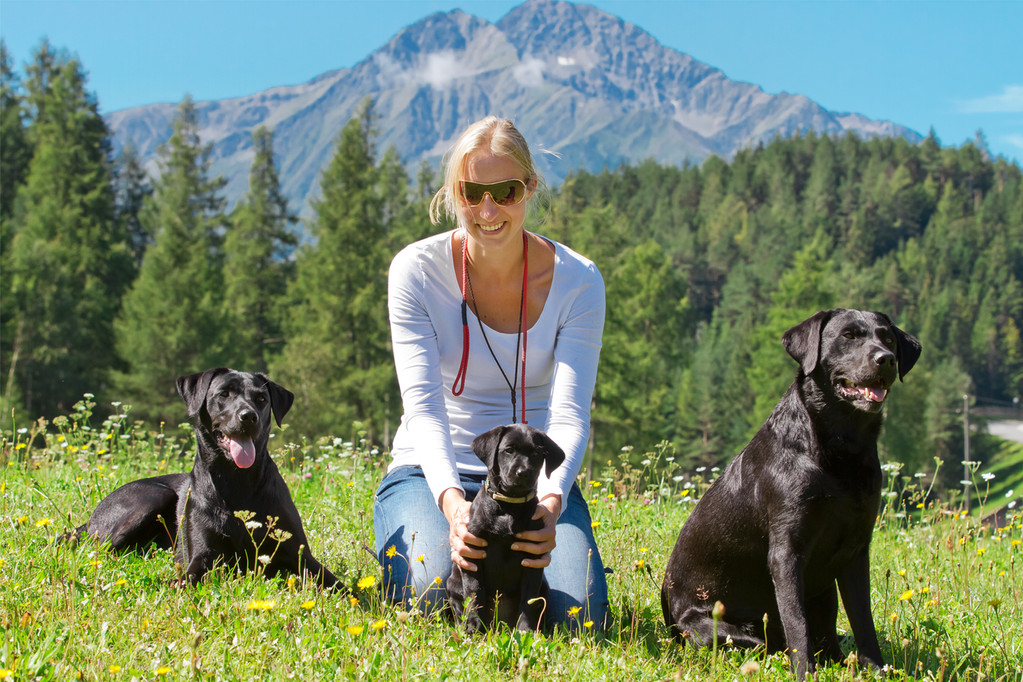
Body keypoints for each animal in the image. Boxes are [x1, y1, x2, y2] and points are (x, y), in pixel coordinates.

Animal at [65, 370, 341, 588]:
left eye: (262, 399)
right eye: (224, 394)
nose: (248, 416)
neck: (236, 480)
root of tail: (89, 520)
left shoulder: (300, 556)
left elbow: (338, 585)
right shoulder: (204, 555)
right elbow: (186, 578)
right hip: (152, 498)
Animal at [448, 423, 568, 633]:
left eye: (537, 453)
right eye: (509, 450)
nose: (523, 472)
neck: (509, 505)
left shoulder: (533, 559)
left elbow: (528, 599)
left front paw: (526, 630)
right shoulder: (473, 551)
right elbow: (474, 591)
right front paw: (473, 626)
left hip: (544, 587)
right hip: (452, 583)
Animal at [658, 312, 924, 678]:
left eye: (888, 339)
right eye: (848, 336)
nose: (886, 359)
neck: (841, 449)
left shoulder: (856, 550)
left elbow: (863, 621)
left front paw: (876, 670)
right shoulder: (786, 552)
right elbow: (797, 624)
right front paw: (806, 674)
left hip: (823, 590)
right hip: (720, 629)